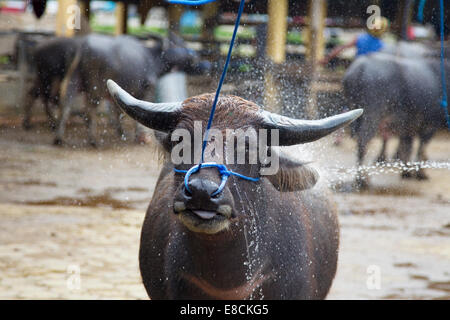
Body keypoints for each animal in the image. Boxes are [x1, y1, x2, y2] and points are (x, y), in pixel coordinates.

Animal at [54, 33, 209, 146]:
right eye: (180, 44)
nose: (196, 56)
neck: (152, 58)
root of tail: (83, 44)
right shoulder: (147, 90)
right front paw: (142, 137)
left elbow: (117, 111)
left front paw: (121, 132)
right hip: (95, 87)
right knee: (90, 110)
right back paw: (93, 140)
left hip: (72, 81)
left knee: (65, 105)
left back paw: (59, 138)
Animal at [344, 52, 446, 188]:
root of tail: (361, 67)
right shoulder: (430, 125)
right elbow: (420, 148)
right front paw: (421, 174)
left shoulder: (408, 126)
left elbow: (407, 147)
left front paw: (406, 172)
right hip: (372, 115)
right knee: (363, 142)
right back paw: (363, 180)